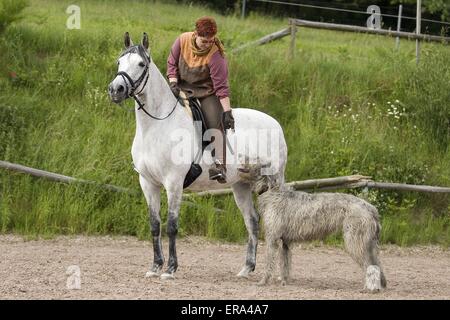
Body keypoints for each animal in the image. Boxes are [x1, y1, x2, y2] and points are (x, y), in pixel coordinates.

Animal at [107, 32, 286, 280]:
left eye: (141, 64)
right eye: (119, 62)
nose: (116, 89)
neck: (156, 126)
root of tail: (275, 123)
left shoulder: (174, 183)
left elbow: (172, 225)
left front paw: (170, 269)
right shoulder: (148, 183)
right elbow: (155, 225)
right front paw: (155, 267)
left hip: (274, 181)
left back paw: (279, 273)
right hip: (240, 185)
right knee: (252, 221)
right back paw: (246, 269)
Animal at [239, 164, 386, 292]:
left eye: (253, 160)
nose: (240, 164)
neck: (271, 190)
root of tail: (371, 208)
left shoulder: (272, 239)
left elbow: (269, 262)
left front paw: (263, 282)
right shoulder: (285, 242)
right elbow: (285, 264)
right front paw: (284, 282)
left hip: (355, 242)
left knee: (371, 266)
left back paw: (369, 289)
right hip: (368, 243)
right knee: (377, 264)